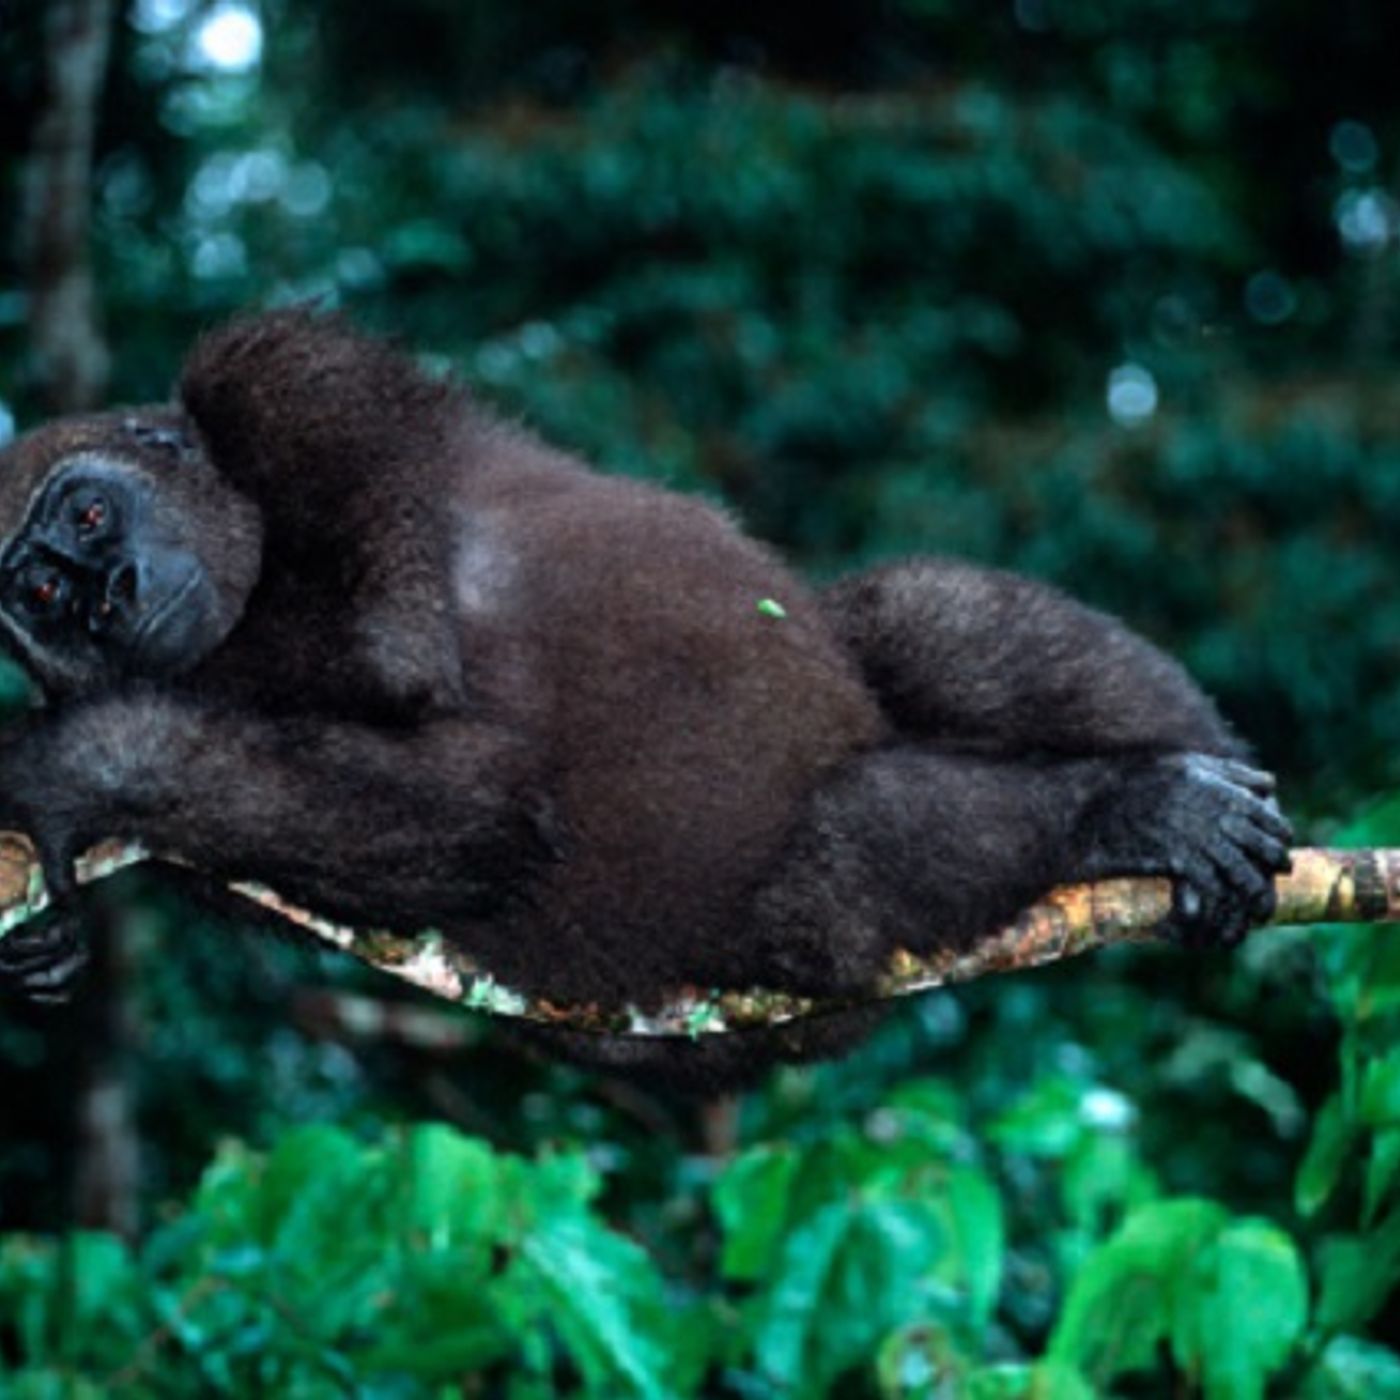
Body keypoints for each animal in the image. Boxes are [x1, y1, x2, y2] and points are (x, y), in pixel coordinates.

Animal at [0, 310, 1291, 1087]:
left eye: (89, 515)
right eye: (39, 592)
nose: (106, 599)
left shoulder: (282, 374)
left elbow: (391, 665)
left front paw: (63, 775)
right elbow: (460, 812)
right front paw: (74, 773)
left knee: (913, 619)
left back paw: (1191, 778)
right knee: (844, 857)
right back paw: (1124, 812)